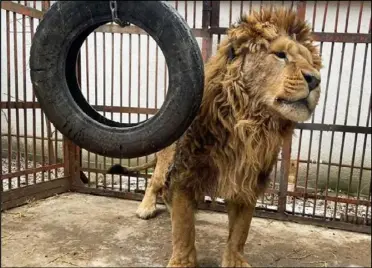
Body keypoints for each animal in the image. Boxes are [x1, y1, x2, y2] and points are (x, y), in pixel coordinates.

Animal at [106, 7, 322, 266]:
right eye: (280, 55)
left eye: (311, 62)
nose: (316, 79)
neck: (248, 127)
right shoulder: (184, 174)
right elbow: (184, 229)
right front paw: (182, 262)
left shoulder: (247, 183)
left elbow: (240, 232)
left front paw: (235, 260)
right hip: (167, 156)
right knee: (155, 181)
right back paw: (146, 207)